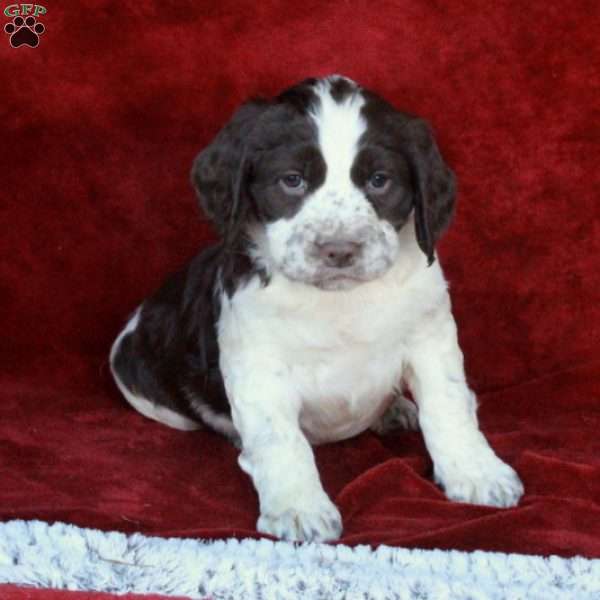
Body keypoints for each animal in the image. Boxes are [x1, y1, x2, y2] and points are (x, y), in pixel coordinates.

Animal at [110, 75, 524, 544]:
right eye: (292, 180)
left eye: (379, 180)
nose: (339, 250)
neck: (339, 300)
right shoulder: (257, 364)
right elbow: (280, 439)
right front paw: (298, 508)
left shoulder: (430, 336)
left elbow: (449, 404)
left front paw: (476, 472)